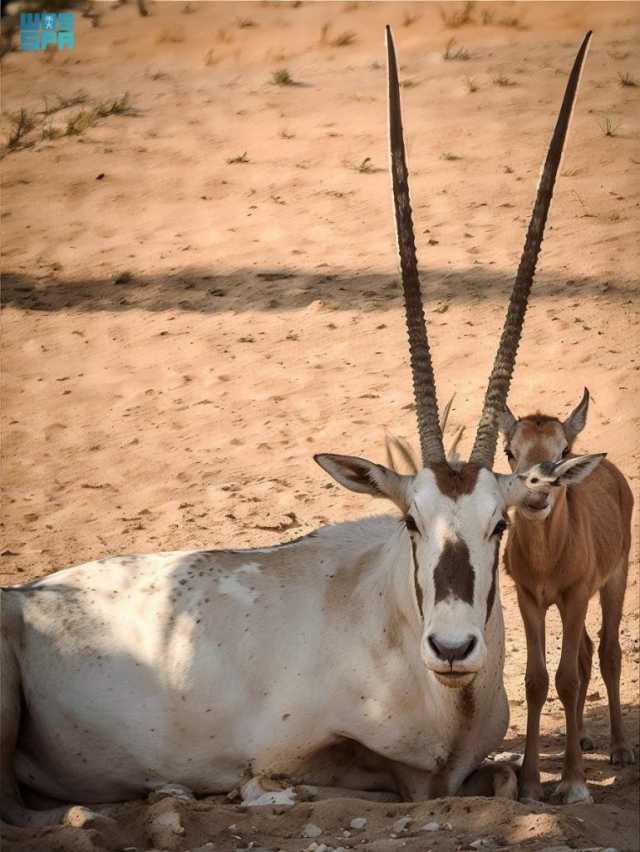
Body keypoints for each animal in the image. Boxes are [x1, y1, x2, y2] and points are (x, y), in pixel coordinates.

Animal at [500, 390, 636, 804]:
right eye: (510, 450)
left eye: (563, 450)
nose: (535, 496)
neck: (547, 559)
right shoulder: (530, 600)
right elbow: (537, 680)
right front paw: (529, 785)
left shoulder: (575, 597)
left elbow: (568, 679)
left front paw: (573, 783)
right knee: (587, 652)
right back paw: (582, 736)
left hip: (613, 581)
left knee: (608, 652)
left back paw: (620, 748)